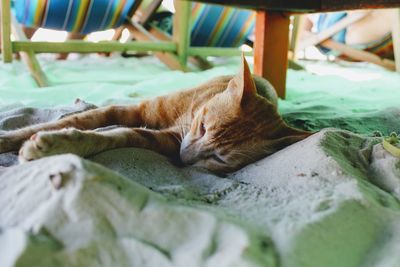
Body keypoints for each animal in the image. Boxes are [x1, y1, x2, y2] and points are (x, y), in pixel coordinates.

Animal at [0, 56, 310, 174]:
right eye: (203, 127)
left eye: (219, 159)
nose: (184, 159)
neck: (188, 115)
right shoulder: (129, 110)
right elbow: (75, 120)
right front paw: (9, 138)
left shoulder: (166, 140)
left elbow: (113, 135)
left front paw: (57, 145)